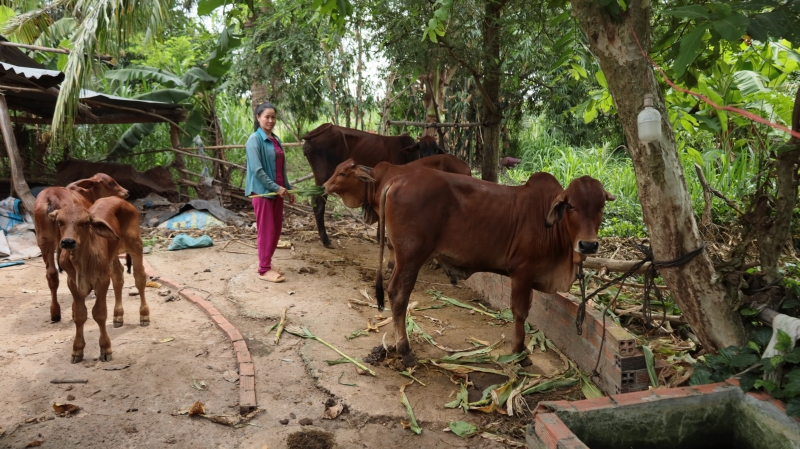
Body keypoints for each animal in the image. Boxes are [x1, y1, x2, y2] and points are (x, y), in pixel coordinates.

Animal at [34, 172, 130, 322]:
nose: (126, 192)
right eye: (111, 183)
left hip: (44, 241)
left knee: (52, 274)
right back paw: (74, 311)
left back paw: (55, 312)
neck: (87, 193)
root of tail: (52, 196)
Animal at [49, 196, 148, 360]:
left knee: (139, 277)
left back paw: (144, 315)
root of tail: (119, 199)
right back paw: (118, 316)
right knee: (118, 276)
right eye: (59, 221)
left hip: (135, 244)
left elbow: (99, 313)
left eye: (84, 222)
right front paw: (77, 350)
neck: (81, 261)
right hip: (113, 254)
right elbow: (79, 314)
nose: (68, 242)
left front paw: (105, 348)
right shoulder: (72, 283)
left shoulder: (102, 280)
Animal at [376, 170, 612, 366]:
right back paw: (405, 351)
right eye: (571, 205)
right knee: (398, 295)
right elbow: (520, 312)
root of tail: (398, 179)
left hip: (402, 258)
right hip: (411, 257)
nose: (588, 245)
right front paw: (519, 353)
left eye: (601, 206)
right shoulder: (522, 272)